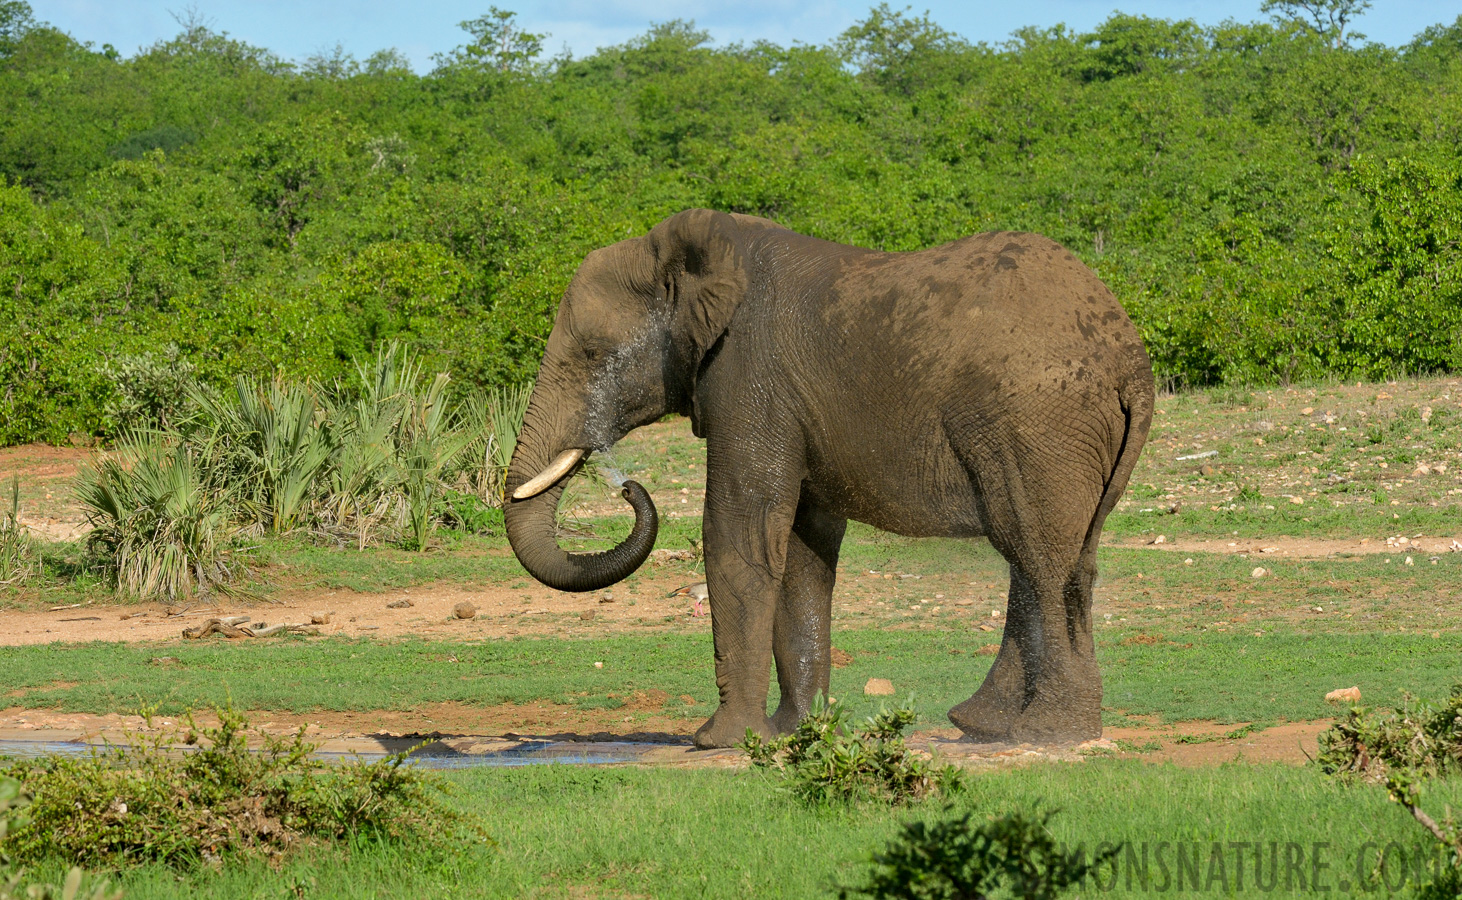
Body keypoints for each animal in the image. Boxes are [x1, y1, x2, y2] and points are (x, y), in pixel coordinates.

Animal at [502, 207, 1152, 748]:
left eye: (591, 354)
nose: (627, 487)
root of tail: (1132, 358)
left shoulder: (749, 376)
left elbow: (739, 532)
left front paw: (719, 741)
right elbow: (799, 549)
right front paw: (796, 733)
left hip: (1036, 424)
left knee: (1039, 556)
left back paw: (1046, 735)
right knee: (1059, 556)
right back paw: (987, 726)